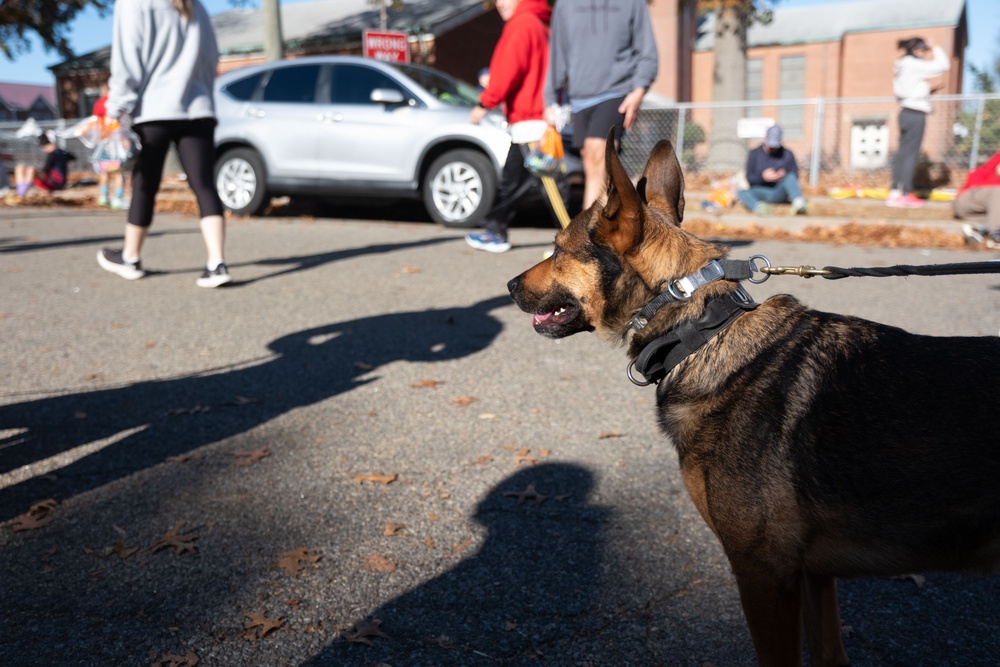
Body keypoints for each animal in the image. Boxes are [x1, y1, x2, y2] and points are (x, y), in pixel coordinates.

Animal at [508, 133, 1000, 664]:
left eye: (559, 249)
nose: (509, 285)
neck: (702, 331)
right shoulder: (813, 575)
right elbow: (829, 651)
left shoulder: (762, 573)